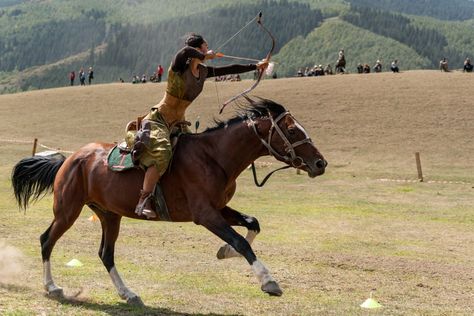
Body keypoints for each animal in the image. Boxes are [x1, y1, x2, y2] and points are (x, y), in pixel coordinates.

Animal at [12, 97, 328, 304]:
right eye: (291, 130)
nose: (320, 163)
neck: (214, 157)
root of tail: (70, 159)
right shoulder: (205, 215)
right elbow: (241, 241)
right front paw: (268, 281)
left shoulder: (219, 209)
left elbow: (252, 224)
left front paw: (225, 252)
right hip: (68, 211)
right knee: (46, 241)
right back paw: (53, 288)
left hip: (109, 215)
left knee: (106, 254)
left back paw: (128, 293)